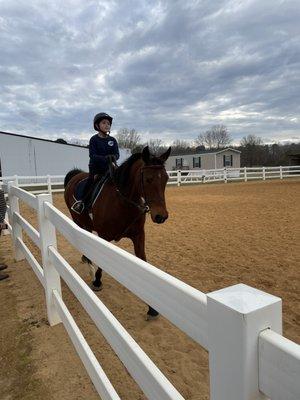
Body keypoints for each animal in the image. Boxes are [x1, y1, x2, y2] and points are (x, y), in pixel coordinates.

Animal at [63, 145, 171, 318]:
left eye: (166, 178)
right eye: (148, 179)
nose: (161, 216)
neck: (122, 201)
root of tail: (76, 174)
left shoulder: (138, 236)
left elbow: (143, 262)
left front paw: (152, 308)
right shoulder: (104, 236)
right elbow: (101, 262)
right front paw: (97, 281)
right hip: (78, 220)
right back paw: (88, 262)